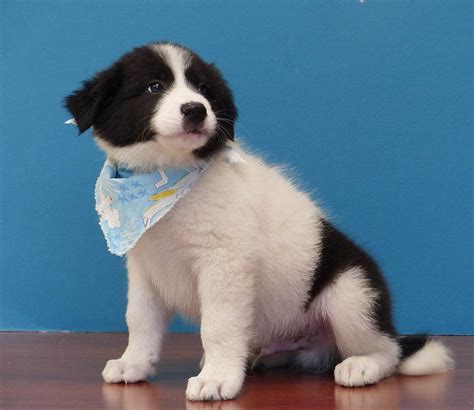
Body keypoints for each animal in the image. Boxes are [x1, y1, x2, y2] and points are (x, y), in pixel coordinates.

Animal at [65, 41, 454, 400]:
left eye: (203, 89)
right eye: (154, 87)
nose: (196, 110)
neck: (168, 176)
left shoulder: (225, 264)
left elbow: (218, 326)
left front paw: (217, 378)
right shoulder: (146, 270)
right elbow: (140, 319)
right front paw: (134, 363)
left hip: (353, 294)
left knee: (388, 349)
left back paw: (363, 365)